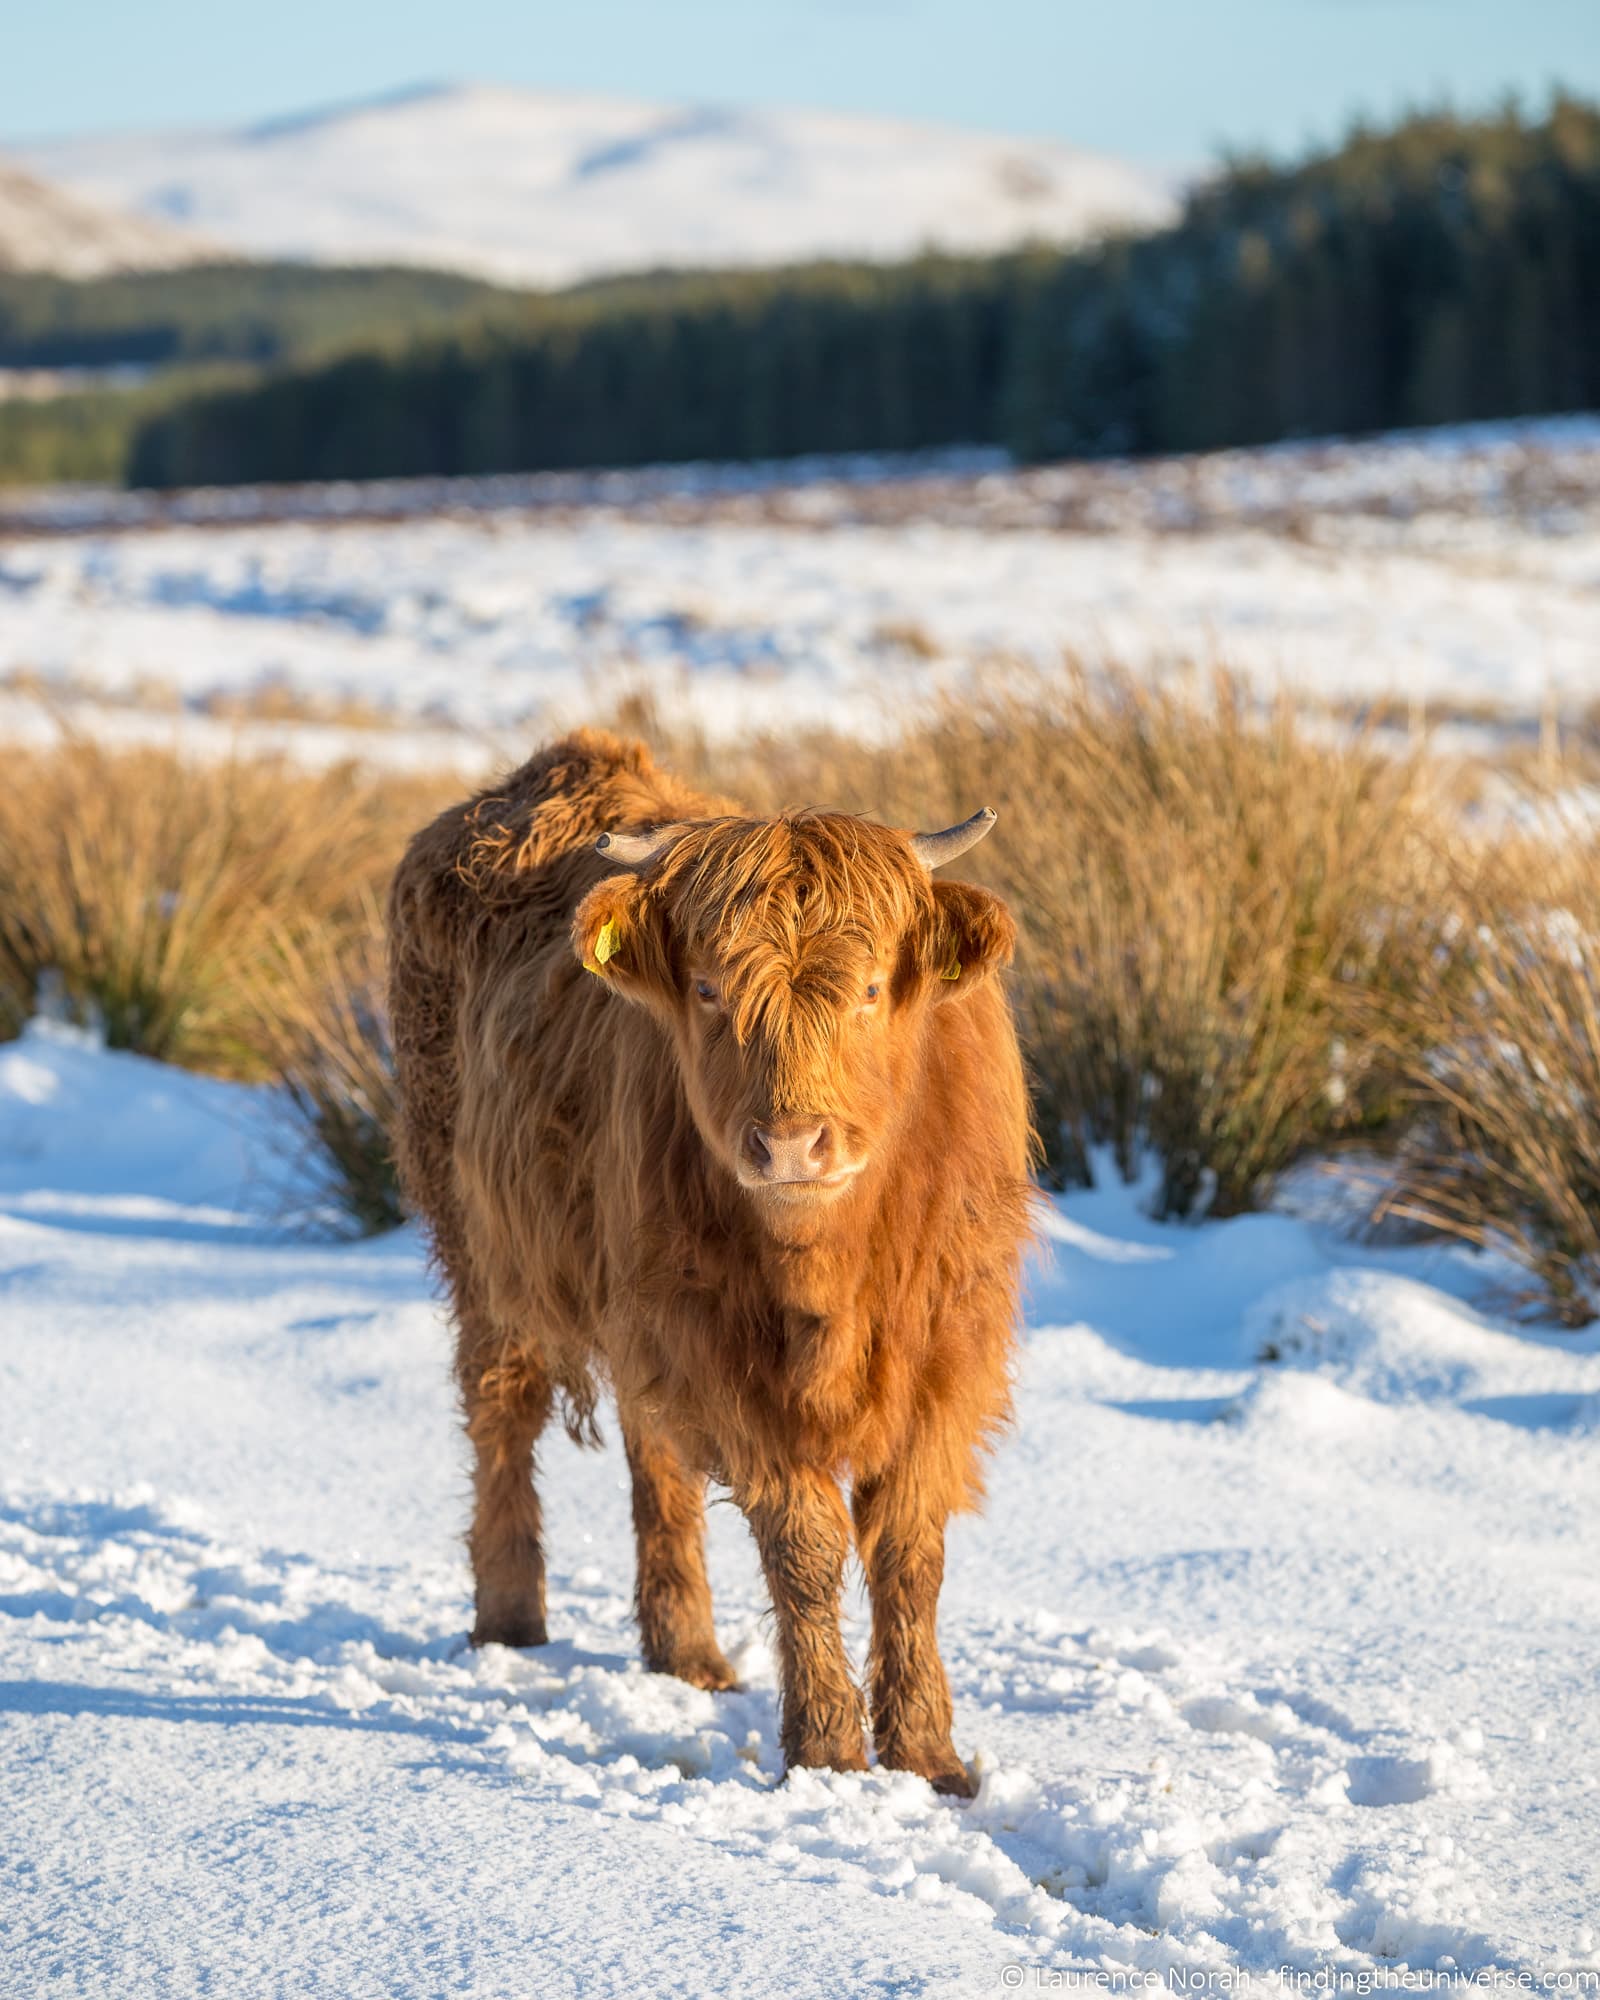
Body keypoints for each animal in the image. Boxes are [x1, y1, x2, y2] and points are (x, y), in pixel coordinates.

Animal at [390, 728, 1040, 1792]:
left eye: (871, 989)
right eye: (707, 989)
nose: (791, 1143)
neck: (831, 1272)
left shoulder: (950, 1353)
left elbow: (908, 1549)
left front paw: (930, 1758)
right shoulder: (721, 1353)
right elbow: (804, 1546)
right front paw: (827, 1750)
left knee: (654, 1453)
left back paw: (685, 1651)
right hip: (486, 1246)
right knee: (501, 1406)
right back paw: (510, 1621)